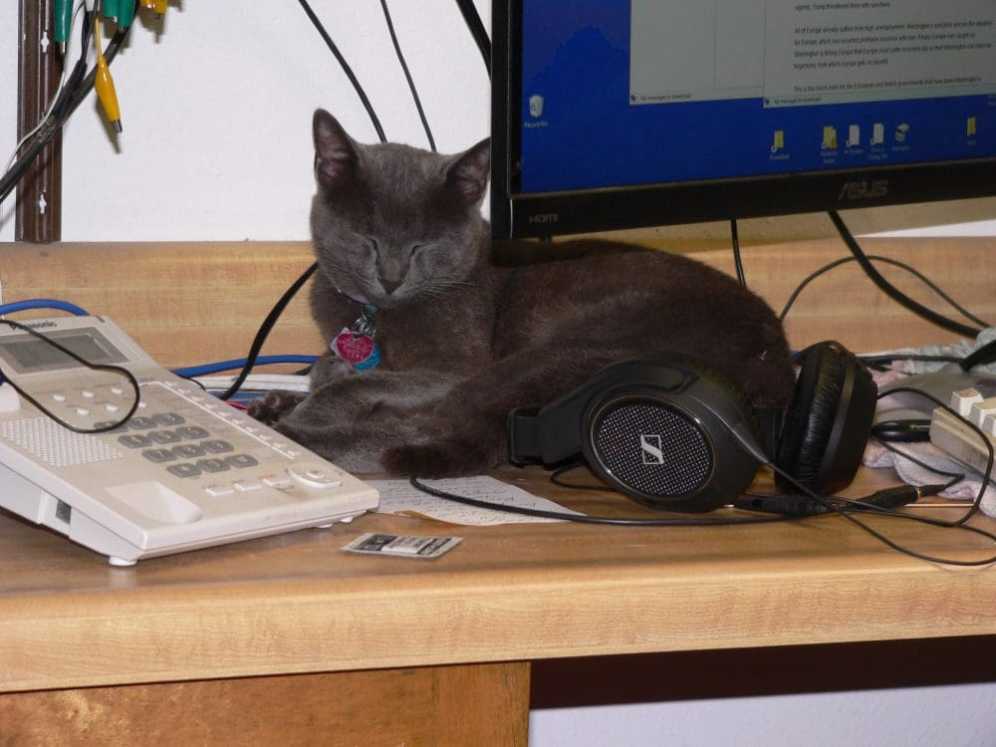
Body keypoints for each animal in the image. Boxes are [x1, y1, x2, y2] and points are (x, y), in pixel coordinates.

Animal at [248, 109, 796, 477]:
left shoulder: (454, 366)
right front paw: (297, 388)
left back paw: (296, 434)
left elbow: (357, 384)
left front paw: (309, 405)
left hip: (558, 356)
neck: (376, 315)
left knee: (430, 430)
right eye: (367, 239)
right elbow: (330, 370)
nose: (391, 277)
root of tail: (774, 368)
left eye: (424, 244)